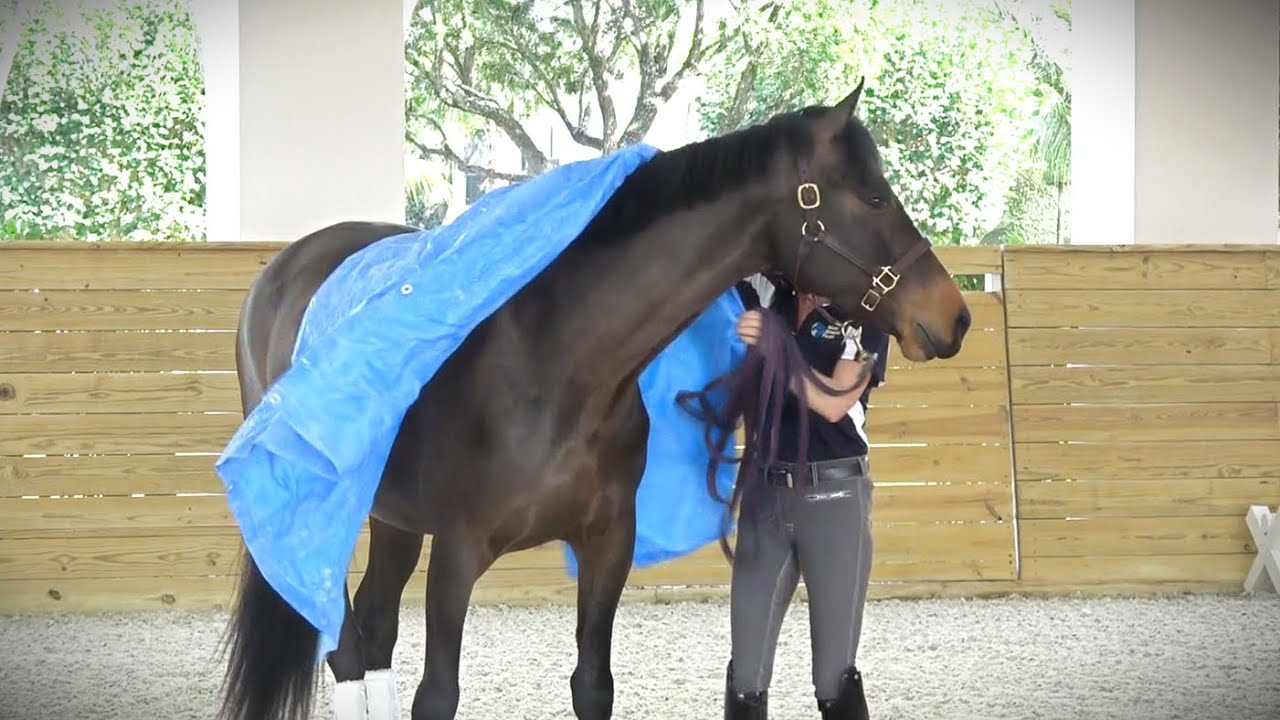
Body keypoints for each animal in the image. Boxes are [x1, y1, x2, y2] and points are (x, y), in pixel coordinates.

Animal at [216, 80, 972, 720]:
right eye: (872, 198)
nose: (955, 315)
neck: (553, 361)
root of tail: (282, 270)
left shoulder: (609, 544)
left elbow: (592, 686)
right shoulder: (456, 555)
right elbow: (439, 696)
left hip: (393, 519)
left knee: (372, 634)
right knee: (346, 652)